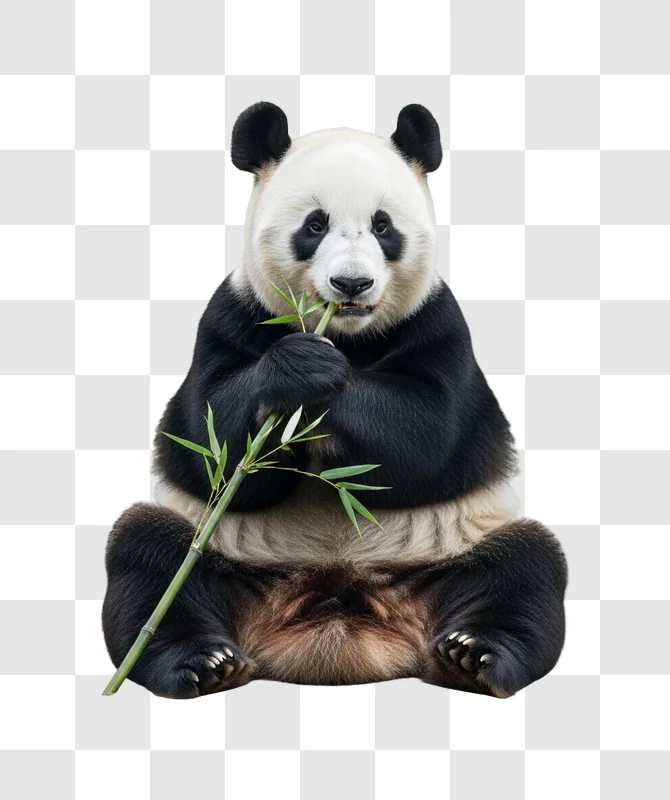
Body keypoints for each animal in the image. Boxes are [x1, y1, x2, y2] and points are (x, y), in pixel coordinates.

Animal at [102, 101, 567, 700]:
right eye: (315, 224)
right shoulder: (230, 317)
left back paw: (474, 656)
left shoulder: (440, 326)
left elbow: (432, 436)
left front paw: (329, 380)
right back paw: (200, 662)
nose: (351, 284)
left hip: (454, 550)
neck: (345, 335)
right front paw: (297, 369)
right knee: (149, 556)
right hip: (221, 555)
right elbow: (207, 445)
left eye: (383, 225)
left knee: (525, 567)